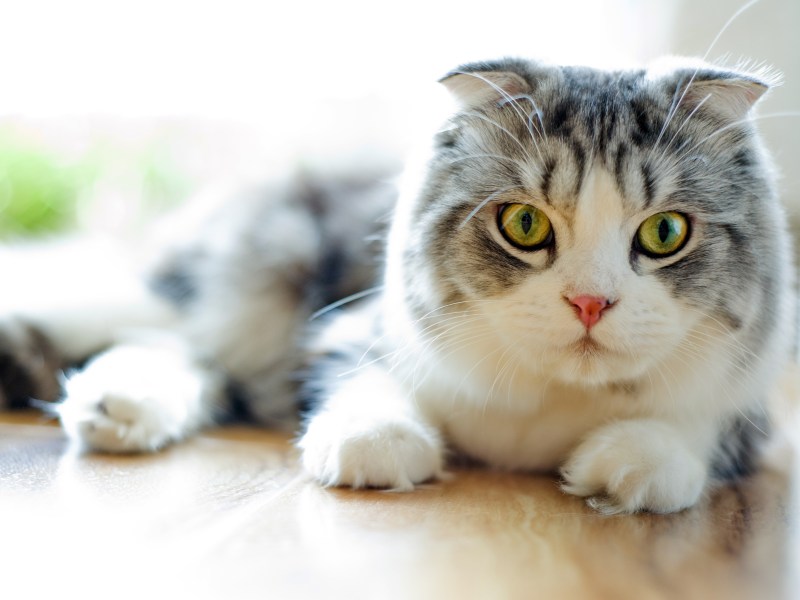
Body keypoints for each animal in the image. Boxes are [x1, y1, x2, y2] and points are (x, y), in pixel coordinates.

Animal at [1, 57, 792, 516]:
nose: (590, 303)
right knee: (158, 329)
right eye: (525, 224)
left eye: (664, 234)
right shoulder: (354, 328)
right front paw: (378, 447)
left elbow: (693, 429)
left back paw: (116, 409)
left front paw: (629, 466)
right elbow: (366, 385)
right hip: (241, 279)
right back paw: (112, 404)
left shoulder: (747, 410)